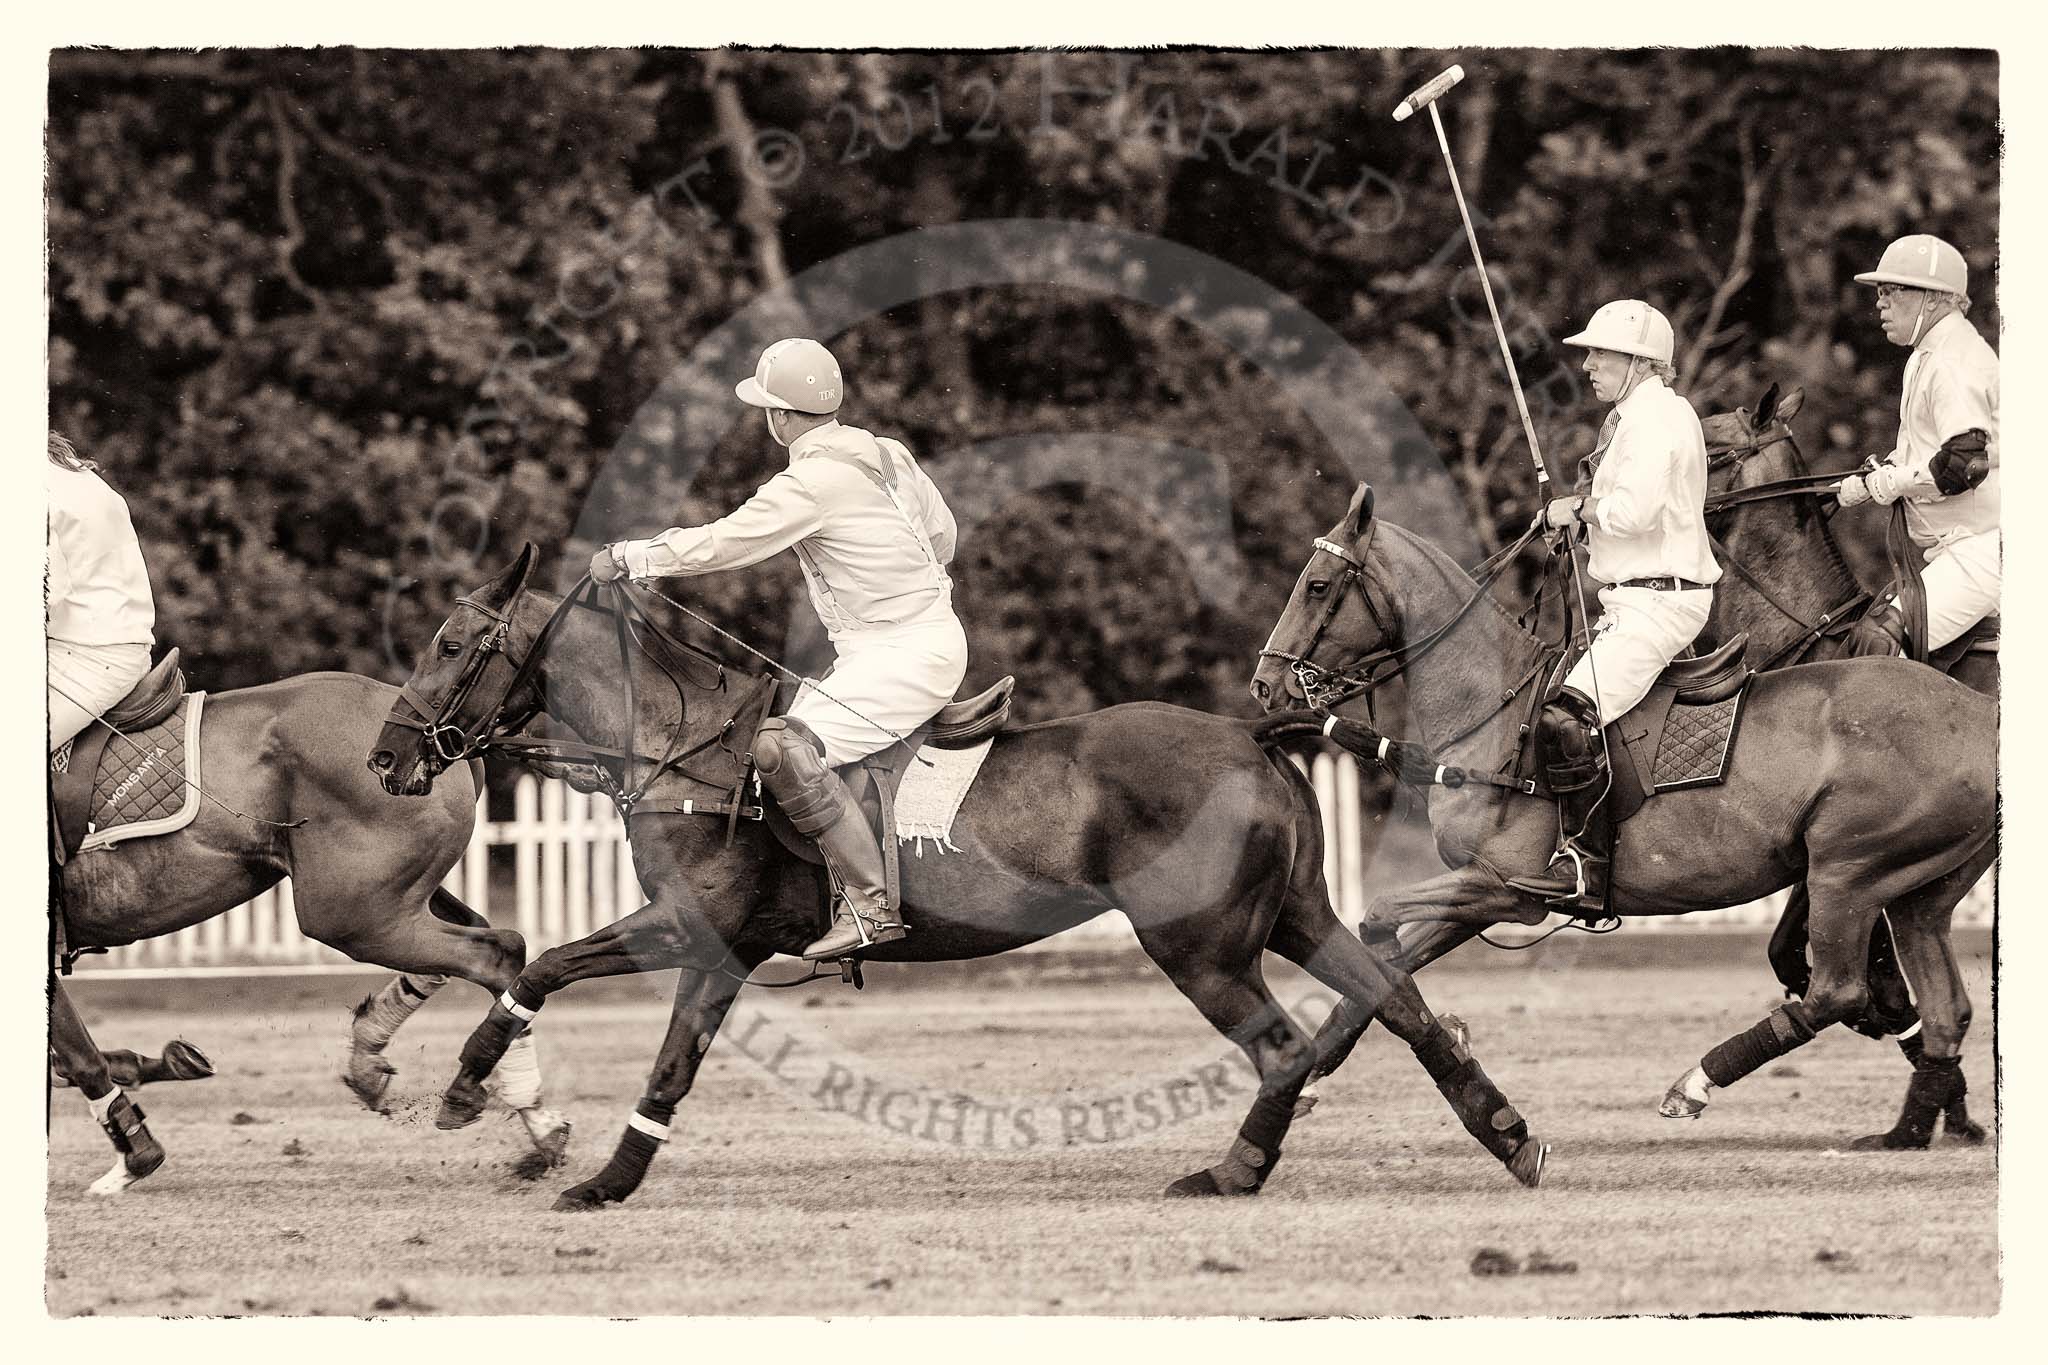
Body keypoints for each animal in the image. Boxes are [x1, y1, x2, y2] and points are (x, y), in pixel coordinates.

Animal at [372, 548, 1548, 1211]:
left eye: (452, 643)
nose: (387, 758)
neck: (681, 751)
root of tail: (1251, 731)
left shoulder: (693, 928)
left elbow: (570, 988)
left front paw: (487, 1102)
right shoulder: (718, 946)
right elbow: (628, 1033)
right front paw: (572, 1156)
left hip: (1199, 945)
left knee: (1285, 1047)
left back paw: (1231, 1174)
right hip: (1295, 916)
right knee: (1399, 1000)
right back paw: (1509, 1136)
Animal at [1253, 485, 1990, 1146]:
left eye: (1318, 585)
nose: (1264, 685)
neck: (1492, 709)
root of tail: (1985, 712)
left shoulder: (1510, 890)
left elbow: (1378, 920)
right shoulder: (1483, 893)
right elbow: (1387, 963)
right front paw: (1316, 1072)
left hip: (1847, 872)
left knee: (1839, 991)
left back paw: (1696, 1083)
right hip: (1916, 890)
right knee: (1944, 1006)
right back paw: (1914, 1128)